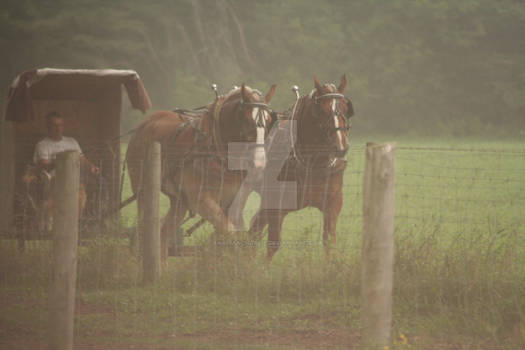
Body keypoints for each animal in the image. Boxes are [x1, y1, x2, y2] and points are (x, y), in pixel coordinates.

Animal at [125, 83, 276, 262]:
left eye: (268, 121)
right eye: (246, 120)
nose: (259, 164)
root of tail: (145, 123)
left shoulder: (232, 202)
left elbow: (229, 233)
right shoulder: (200, 200)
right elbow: (230, 233)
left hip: (179, 202)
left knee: (163, 234)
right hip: (142, 190)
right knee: (144, 231)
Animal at [235, 74, 354, 260]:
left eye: (345, 107)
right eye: (322, 111)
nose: (341, 147)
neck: (312, 162)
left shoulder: (333, 203)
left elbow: (329, 243)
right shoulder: (277, 204)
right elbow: (273, 244)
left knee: (254, 229)